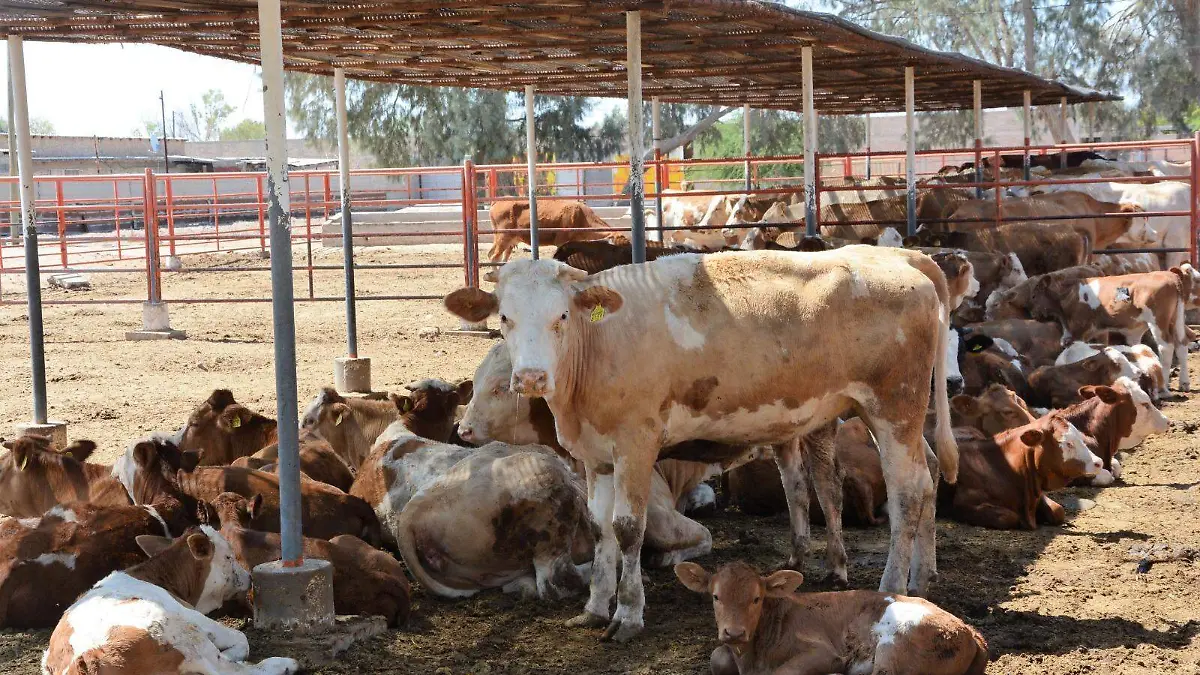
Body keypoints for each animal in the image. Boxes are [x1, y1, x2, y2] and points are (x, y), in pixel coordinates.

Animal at [42, 526, 298, 675]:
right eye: (228, 557)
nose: (249, 577)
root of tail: (86, 660)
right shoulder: (191, 615)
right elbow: (240, 639)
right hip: (180, 632)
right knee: (225, 670)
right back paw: (283, 664)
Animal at [444, 246, 958, 641]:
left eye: (562, 316)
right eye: (505, 317)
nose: (531, 377)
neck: (601, 343)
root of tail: (904, 261)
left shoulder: (637, 443)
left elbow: (628, 528)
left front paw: (628, 614)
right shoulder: (595, 454)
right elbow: (599, 528)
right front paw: (593, 608)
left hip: (893, 408)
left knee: (908, 493)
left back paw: (892, 587)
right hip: (897, 418)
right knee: (929, 475)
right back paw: (922, 577)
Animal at [675, 562, 989, 675]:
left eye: (756, 598)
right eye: (716, 597)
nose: (735, 632)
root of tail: (970, 630)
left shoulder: (824, 651)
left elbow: (783, 672)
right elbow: (717, 656)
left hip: (895, 654)